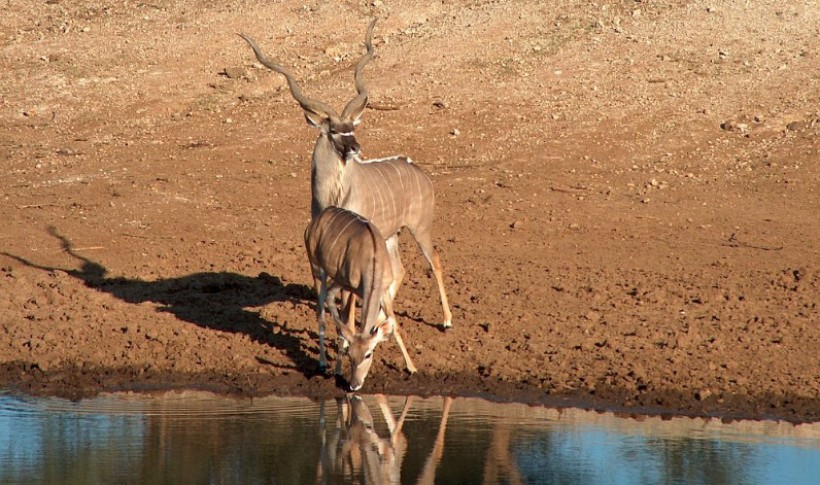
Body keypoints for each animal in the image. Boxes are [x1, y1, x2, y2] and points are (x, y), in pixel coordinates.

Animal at [237, 18, 454, 328]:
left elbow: (348, 296)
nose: (355, 147)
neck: (334, 195)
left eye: (352, 127)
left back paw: (446, 320)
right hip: (391, 235)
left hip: (419, 227)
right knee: (398, 271)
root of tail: (418, 170)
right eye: (335, 131)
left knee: (433, 259)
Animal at [304, 206, 416, 392]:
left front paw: (412, 367)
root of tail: (317, 220)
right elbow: (347, 324)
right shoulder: (351, 288)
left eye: (368, 354)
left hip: (334, 278)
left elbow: (394, 326)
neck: (373, 259)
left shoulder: (384, 291)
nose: (354, 385)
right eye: (350, 355)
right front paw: (338, 369)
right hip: (317, 268)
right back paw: (323, 363)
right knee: (321, 311)